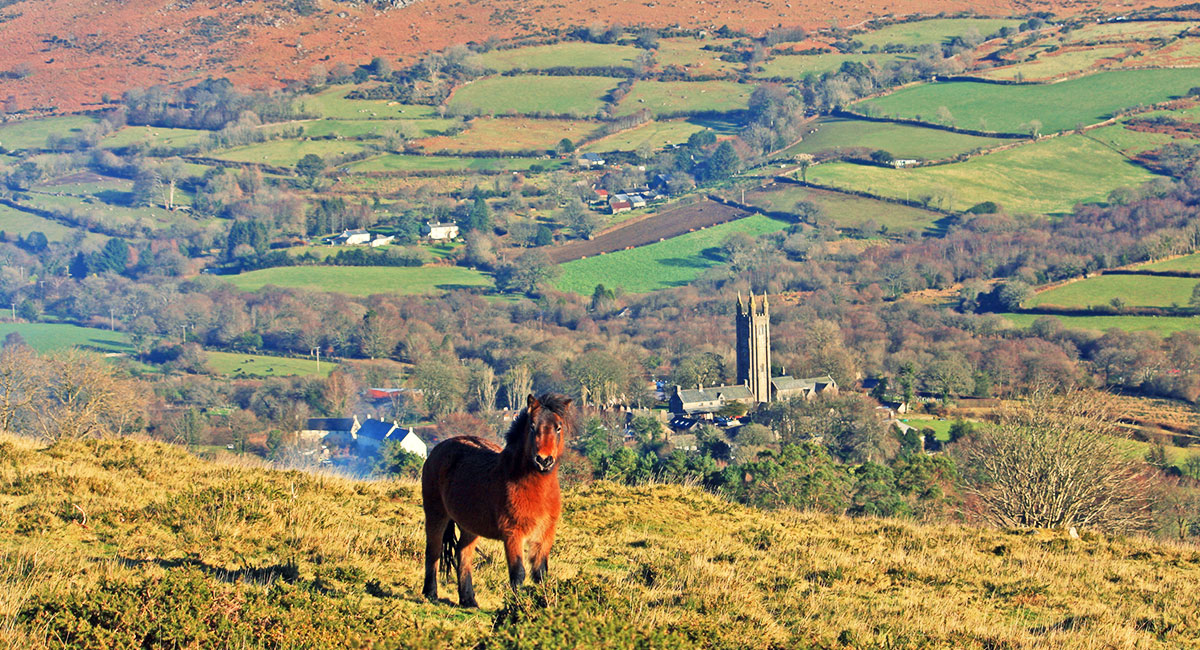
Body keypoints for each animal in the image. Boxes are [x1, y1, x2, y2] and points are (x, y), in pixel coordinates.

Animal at [421, 393, 573, 607]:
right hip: (436, 514)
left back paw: (468, 600)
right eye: (532, 426)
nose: (544, 460)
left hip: (469, 526)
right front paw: (517, 606)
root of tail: (438, 448)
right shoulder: (513, 534)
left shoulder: (545, 535)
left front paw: (545, 604)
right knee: (433, 551)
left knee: (463, 554)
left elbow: (541, 574)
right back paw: (431, 593)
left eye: (558, 427)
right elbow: (518, 573)